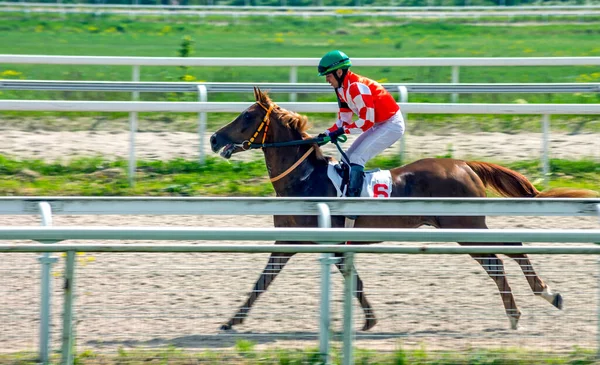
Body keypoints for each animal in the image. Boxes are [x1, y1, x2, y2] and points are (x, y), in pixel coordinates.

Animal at [209, 86, 596, 332]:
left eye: (246, 116)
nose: (214, 139)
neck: (304, 179)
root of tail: (464, 164)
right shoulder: (291, 242)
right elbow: (265, 281)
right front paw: (231, 321)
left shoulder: (327, 242)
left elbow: (346, 281)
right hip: (463, 226)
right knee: (499, 261)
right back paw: (522, 309)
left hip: (464, 224)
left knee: (507, 253)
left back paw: (544, 296)